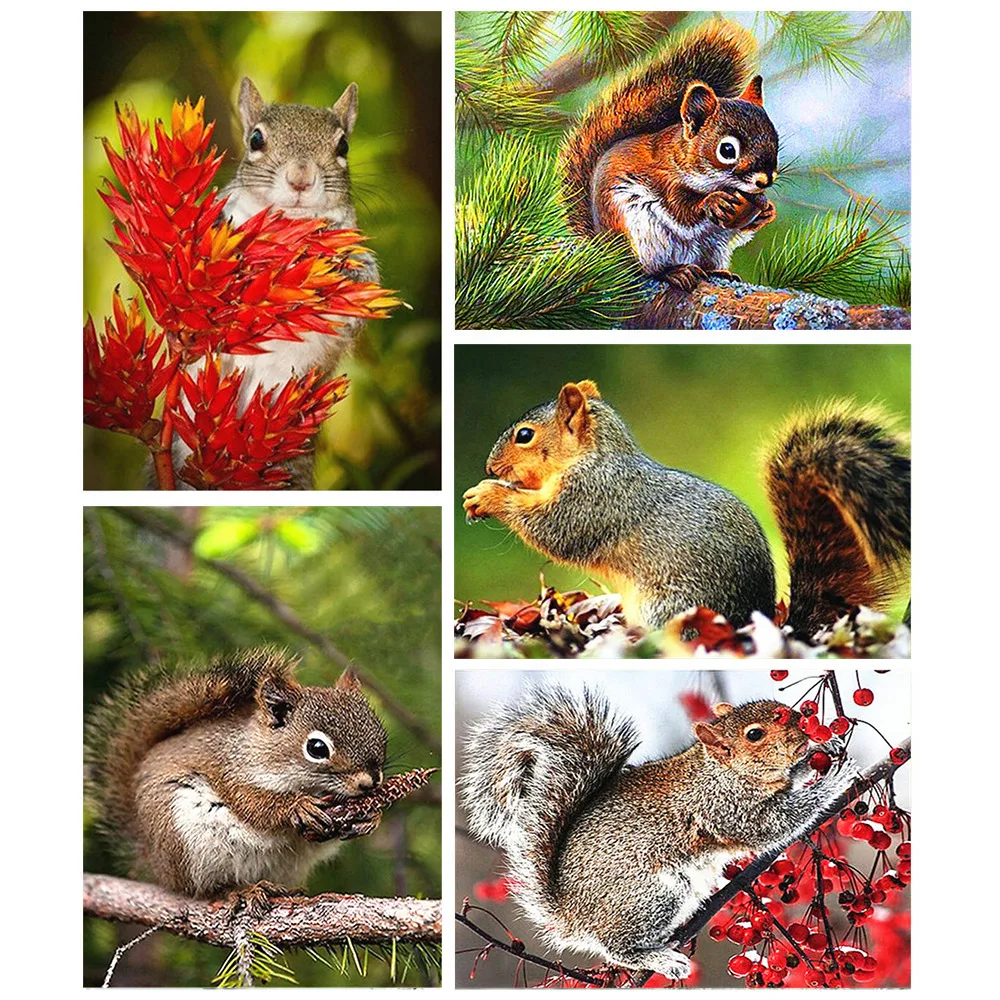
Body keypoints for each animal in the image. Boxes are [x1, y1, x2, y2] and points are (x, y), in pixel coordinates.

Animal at [85, 648, 387, 899]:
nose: (370, 782)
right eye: (316, 748)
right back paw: (242, 890)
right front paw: (297, 807)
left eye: (380, 732)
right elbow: (253, 804)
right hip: (184, 840)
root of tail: (153, 860)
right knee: (203, 889)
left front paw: (372, 817)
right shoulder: (228, 770)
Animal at [461, 688, 857, 980]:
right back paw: (660, 959)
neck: (722, 771)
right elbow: (779, 822)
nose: (803, 728)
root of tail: (571, 913)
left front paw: (826, 749)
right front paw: (836, 779)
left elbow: (794, 778)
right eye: (755, 735)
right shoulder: (728, 810)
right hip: (654, 894)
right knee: (616, 947)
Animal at [462, 380, 910, 636]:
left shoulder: (593, 496)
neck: (595, 455)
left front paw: (487, 494)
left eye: (524, 435)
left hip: (669, 607)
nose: (488, 467)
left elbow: (554, 529)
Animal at [560, 20, 779, 292]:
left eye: (775, 138)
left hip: (713, 246)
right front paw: (713, 201)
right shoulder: (664, 179)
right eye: (727, 150)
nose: (765, 180)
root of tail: (604, 247)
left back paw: (717, 272)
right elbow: (681, 211)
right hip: (640, 235)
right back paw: (674, 272)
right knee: (645, 271)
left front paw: (767, 210)